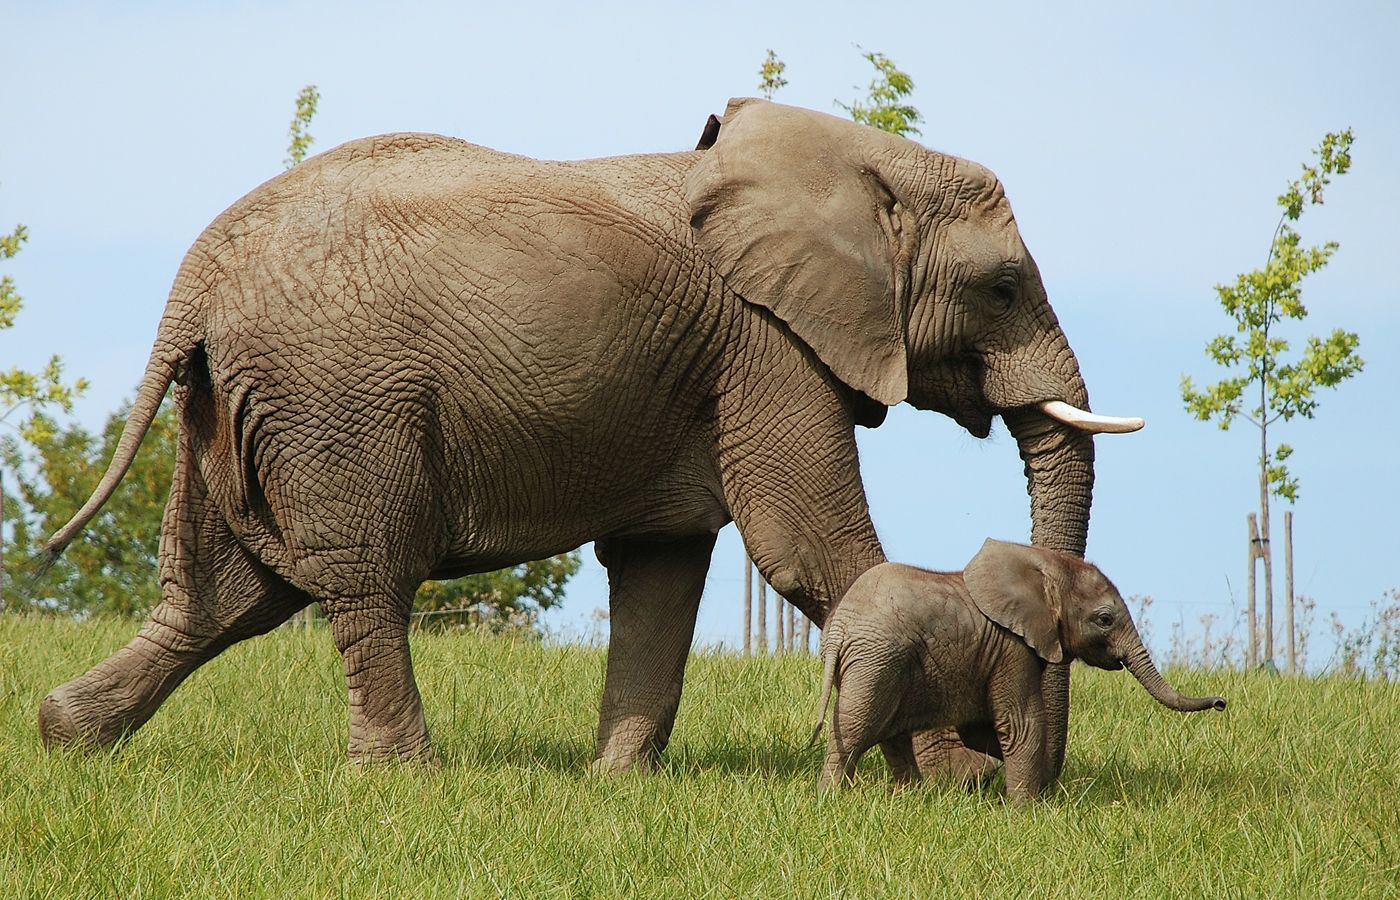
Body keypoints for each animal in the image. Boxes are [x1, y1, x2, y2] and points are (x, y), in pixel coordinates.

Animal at [38, 100, 1142, 772]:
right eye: (1003, 289)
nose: (1021, 766)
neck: (845, 154)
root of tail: (196, 281)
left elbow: (662, 564)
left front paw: (619, 785)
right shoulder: (770, 346)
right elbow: (808, 546)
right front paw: (957, 781)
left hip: (238, 409)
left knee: (220, 598)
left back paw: (67, 739)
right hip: (340, 402)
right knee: (360, 580)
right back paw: (408, 778)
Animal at [812, 537, 1226, 800]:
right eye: (1105, 619)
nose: (1222, 703)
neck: (1044, 564)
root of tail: (839, 629)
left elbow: (981, 730)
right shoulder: (1011, 649)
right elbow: (1020, 723)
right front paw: (1026, 812)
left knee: (889, 733)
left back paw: (911, 798)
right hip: (876, 661)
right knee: (856, 727)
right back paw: (831, 799)